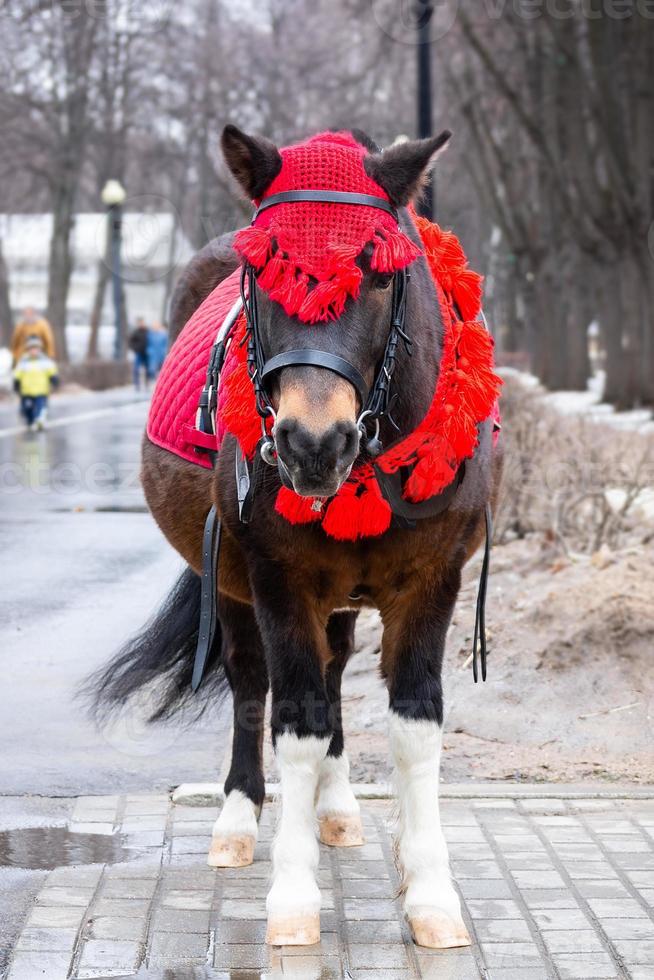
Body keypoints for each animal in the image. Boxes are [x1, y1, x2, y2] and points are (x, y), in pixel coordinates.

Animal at [91, 126, 502, 944]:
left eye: (375, 275)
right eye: (262, 272)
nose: (314, 441)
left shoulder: (433, 580)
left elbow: (413, 723)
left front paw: (430, 890)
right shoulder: (277, 581)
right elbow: (296, 720)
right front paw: (292, 894)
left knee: (336, 670)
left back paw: (337, 807)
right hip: (233, 582)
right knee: (255, 683)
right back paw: (239, 817)